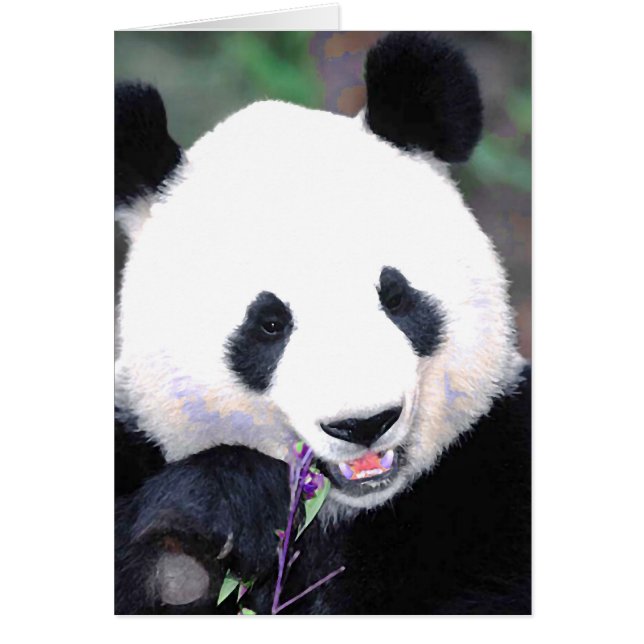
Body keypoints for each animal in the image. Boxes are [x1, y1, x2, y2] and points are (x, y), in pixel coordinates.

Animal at [115, 32, 531, 615]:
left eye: (396, 296)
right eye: (269, 324)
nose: (364, 424)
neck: (349, 511)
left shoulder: (494, 470)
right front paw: (230, 506)